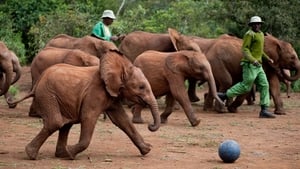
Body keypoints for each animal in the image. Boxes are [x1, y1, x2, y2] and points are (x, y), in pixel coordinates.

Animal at [8, 48, 161, 160]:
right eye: (141, 87)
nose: (150, 126)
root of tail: (36, 84)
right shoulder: (95, 94)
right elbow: (88, 117)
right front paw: (71, 152)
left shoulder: (112, 95)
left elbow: (123, 121)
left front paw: (147, 150)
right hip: (47, 95)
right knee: (56, 122)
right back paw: (33, 155)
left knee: (65, 124)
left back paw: (62, 154)